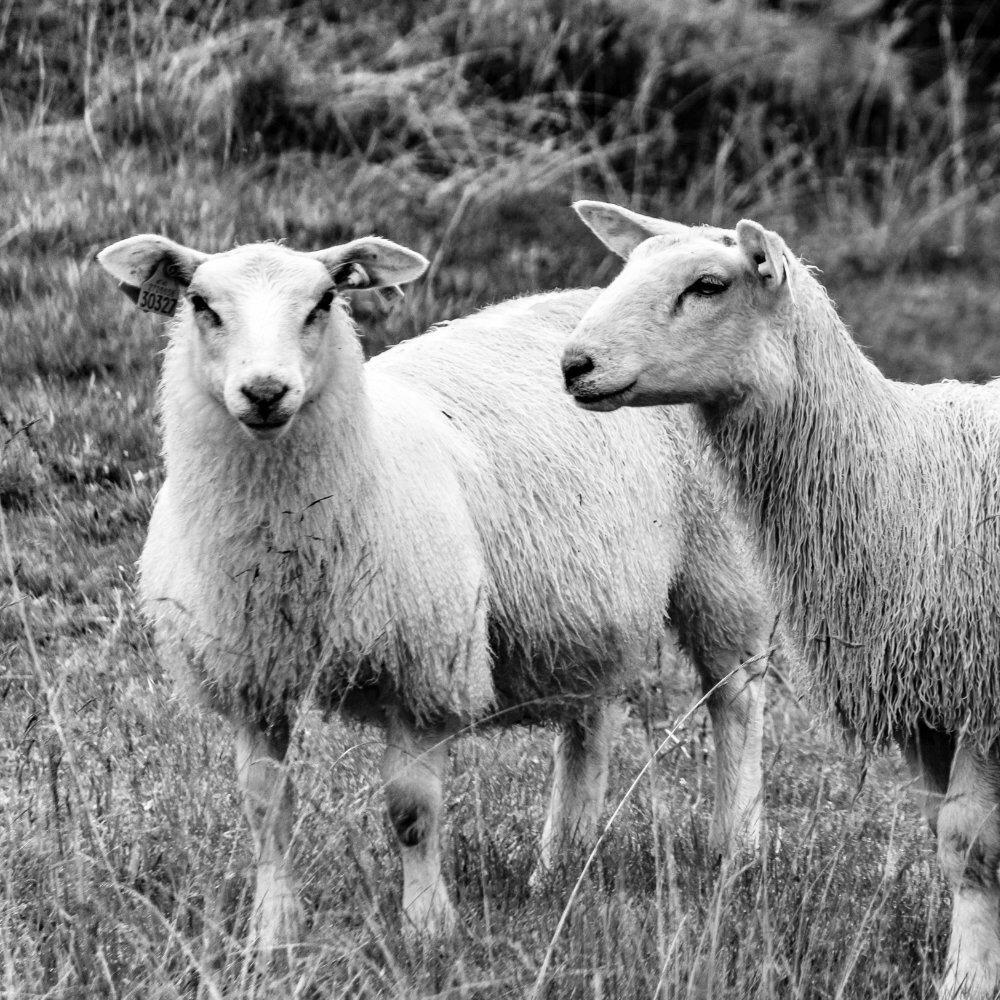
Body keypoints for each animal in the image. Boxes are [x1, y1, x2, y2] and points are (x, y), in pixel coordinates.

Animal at [96, 231, 779, 953]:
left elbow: (411, 812)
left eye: (323, 302)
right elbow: (265, 809)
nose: (264, 391)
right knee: (589, 725)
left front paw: (427, 929)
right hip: (587, 606)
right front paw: (272, 934)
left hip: (724, 566)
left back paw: (738, 852)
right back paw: (558, 869)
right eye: (201, 304)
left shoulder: (424, 665)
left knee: (737, 698)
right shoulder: (252, 679)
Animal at [560, 200, 1000, 999]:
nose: (574, 365)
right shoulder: (925, 703)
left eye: (708, 284)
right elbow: (945, 836)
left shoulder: (982, 686)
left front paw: (967, 981)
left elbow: (967, 843)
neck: (909, 480)